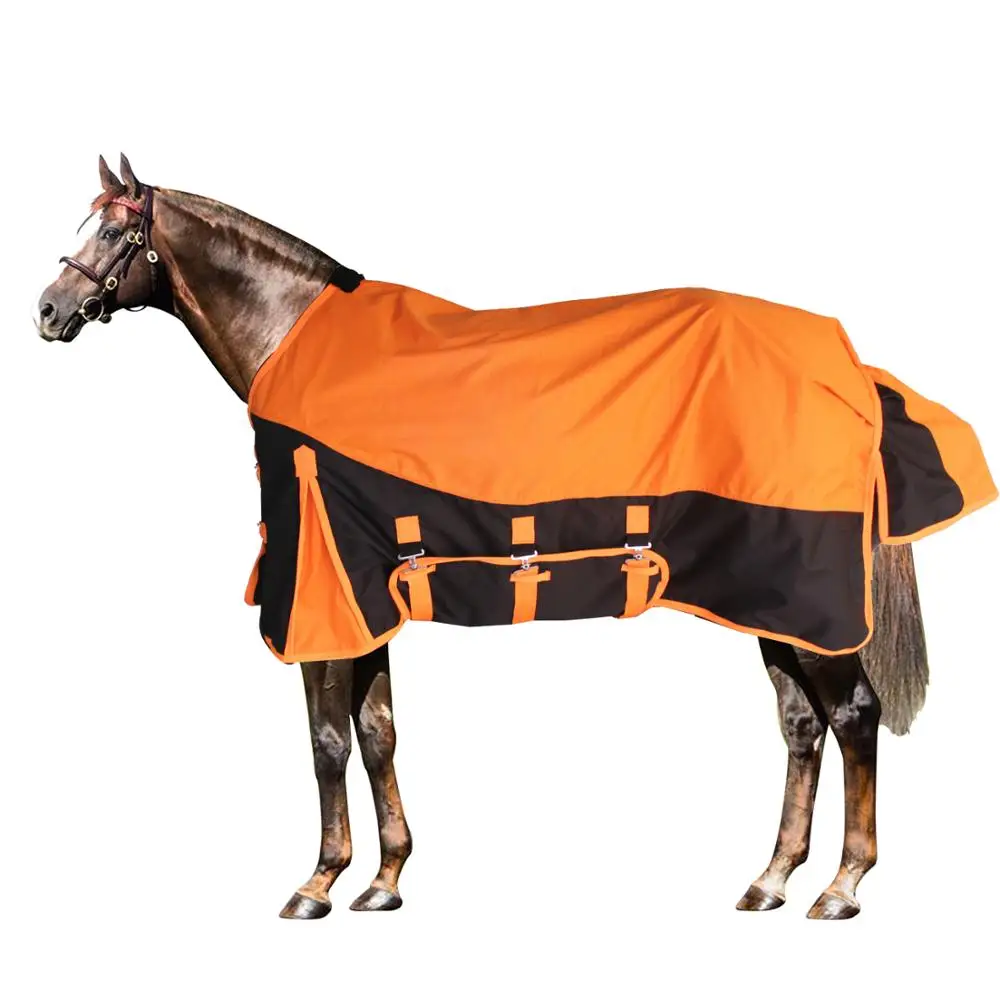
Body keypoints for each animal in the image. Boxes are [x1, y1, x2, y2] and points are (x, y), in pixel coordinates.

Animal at [34, 154, 949, 921]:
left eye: (114, 231)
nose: (47, 311)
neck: (296, 347)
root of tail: (846, 368)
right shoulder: (371, 601)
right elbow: (377, 733)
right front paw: (385, 879)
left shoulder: (324, 600)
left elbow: (327, 742)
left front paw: (318, 883)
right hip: (766, 602)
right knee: (802, 725)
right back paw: (771, 878)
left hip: (810, 603)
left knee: (854, 715)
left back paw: (841, 886)